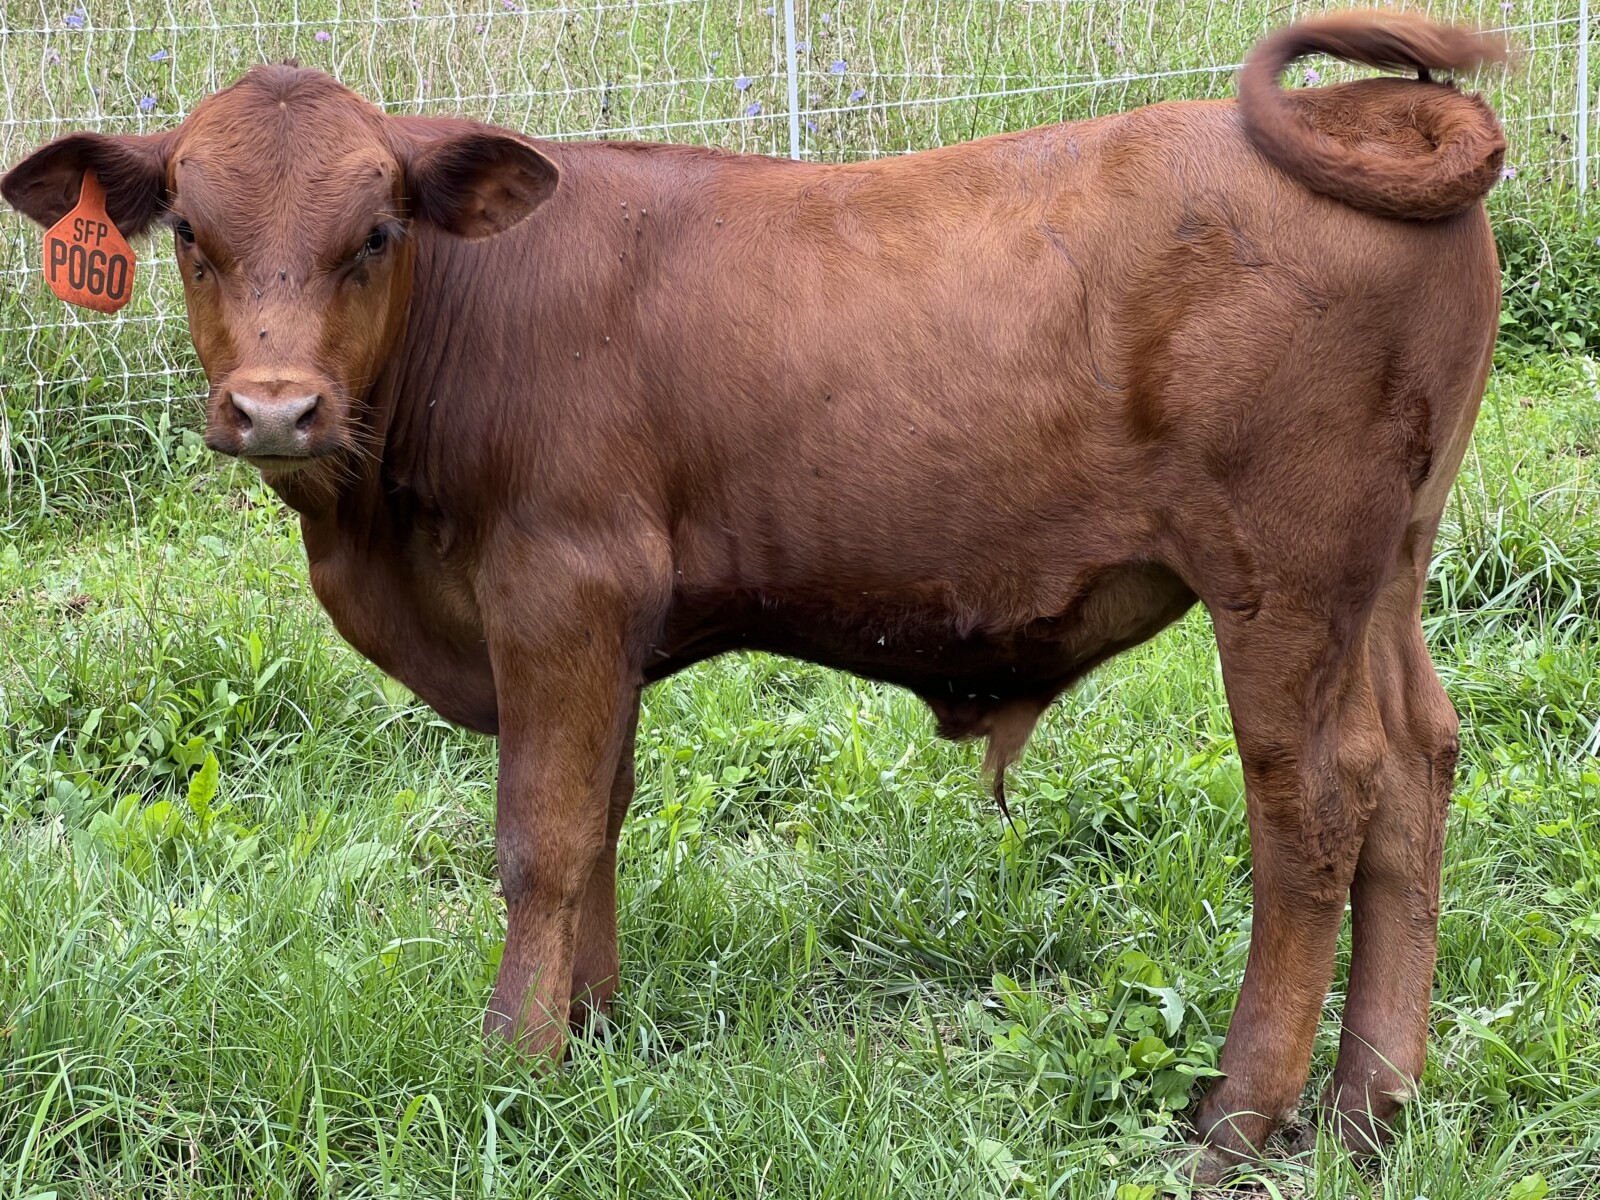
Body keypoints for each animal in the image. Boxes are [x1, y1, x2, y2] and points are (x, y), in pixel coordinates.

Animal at [3, 10, 1507, 1181]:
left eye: (374, 233)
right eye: (190, 234)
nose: (275, 407)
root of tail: (1362, 118)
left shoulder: (561, 589)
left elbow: (541, 837)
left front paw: (514, 1059)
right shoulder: (599, 631)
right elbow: (602, 817)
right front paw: (594, 1026)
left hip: (1282, 578)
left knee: (1313, 806)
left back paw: (1243, 1118)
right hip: (1387, 570)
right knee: (1414, 770)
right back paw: (1374, 1104)